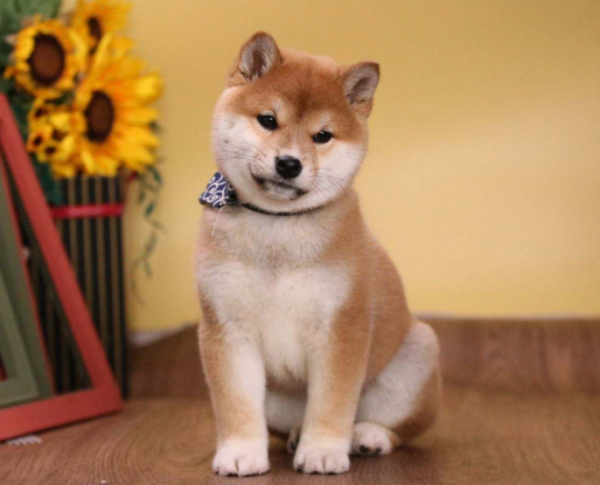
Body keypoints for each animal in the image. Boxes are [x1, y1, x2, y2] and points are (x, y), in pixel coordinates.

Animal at [195, 32, 441, 476]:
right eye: (268, 120)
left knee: (399, 426)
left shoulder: (342, 328)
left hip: (417, 355)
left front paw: (324, 451)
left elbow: (332, 403)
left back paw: (368, 436)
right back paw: (295, 435)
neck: (277, 225)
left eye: (322, 136)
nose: (289, 164)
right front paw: (240, 451)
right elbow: (235, 404)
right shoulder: (226, 329)